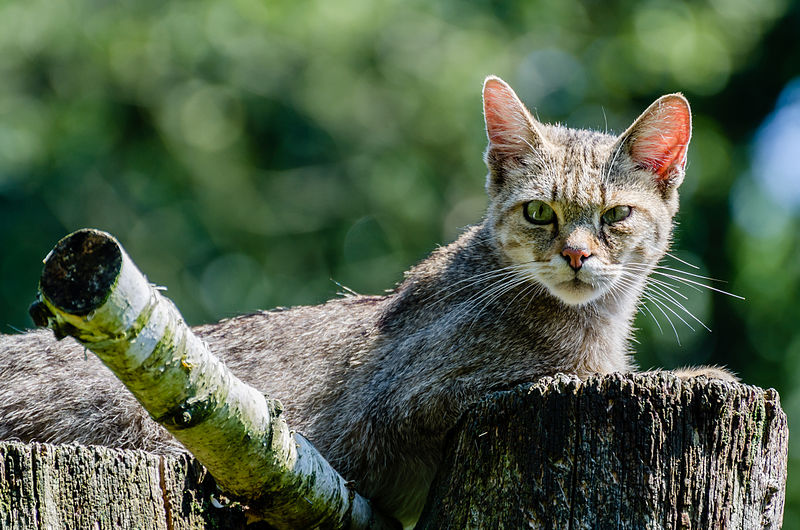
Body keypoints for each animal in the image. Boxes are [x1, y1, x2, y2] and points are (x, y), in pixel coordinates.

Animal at [0, 76, 736, 524]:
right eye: (538, 213)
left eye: (615, 216)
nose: (577, 255)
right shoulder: (429, 393)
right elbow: (582, 369)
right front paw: (704, 371)